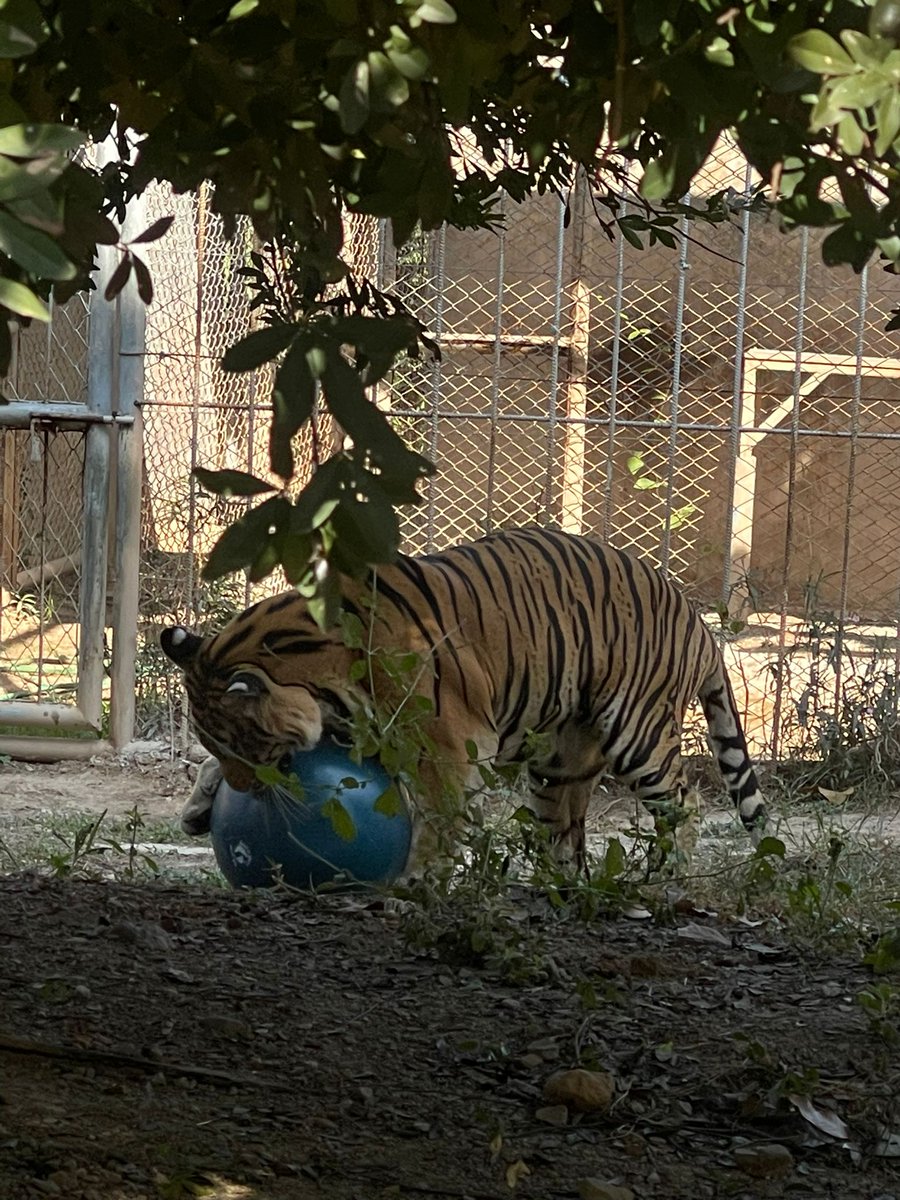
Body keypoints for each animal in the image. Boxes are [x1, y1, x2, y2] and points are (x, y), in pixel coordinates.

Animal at [160, 526, 766, 872]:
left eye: (249, 747)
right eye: (224, 750)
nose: (241, 790)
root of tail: (697, 620)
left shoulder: (446, 750)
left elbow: (438, 825)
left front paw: (411, 891)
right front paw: (197, 805)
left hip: (639, 733)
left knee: (685, 808)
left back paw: (660, 884)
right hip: (559, 766)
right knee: (566, 836)